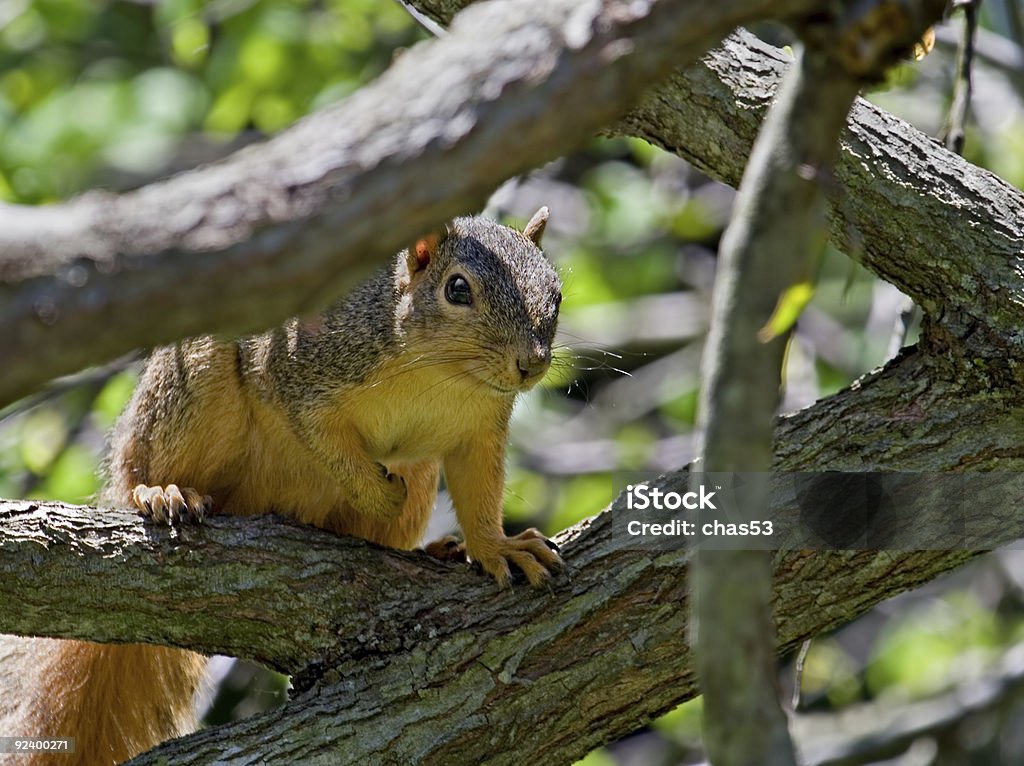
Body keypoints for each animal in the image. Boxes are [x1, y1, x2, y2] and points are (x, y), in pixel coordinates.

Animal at [0, 206, 561, 761]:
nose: (530, 364)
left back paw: (432, 548)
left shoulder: (481, 428)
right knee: (147, 470)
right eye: (457, 289)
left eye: (556, 291)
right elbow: (325, 441)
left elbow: (478, 489)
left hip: (420, 473)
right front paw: (380, 493)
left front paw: (496, 546)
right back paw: (162, 492)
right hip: (189, 385)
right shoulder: (301, 372)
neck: (444, 374)